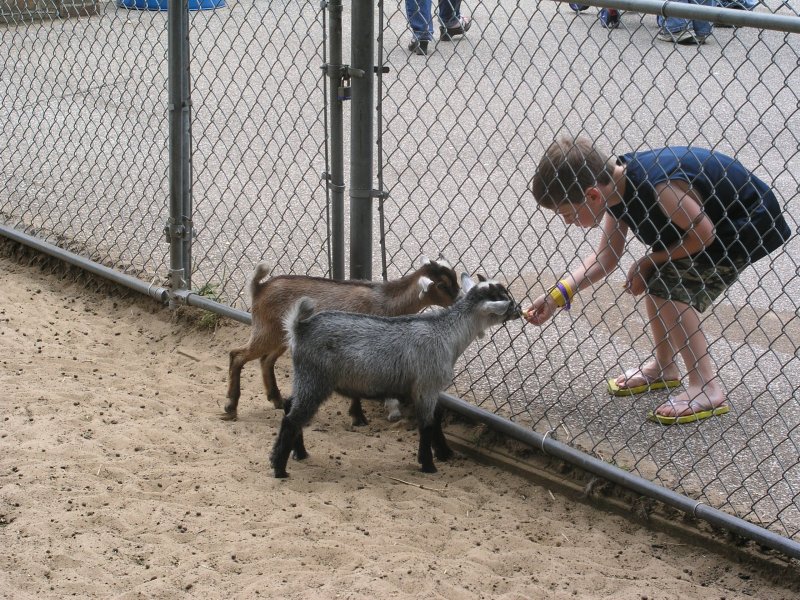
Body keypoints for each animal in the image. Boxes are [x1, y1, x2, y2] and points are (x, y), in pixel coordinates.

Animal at [224, 256, 460, 424]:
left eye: (455, 277)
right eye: (442, 285)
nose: (459, 299)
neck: (385, 301)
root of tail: (259, 288)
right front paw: (364, 416)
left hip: (281, 335)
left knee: (266, 360)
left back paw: (277, 400)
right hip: (265, 331)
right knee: (237, 355)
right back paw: (231, 407)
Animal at [269, 273, 521, 478]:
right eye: (505, 300)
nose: (519, 310)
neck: (447, 333)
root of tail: (299, 328)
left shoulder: (426, 390)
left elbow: (436, 419)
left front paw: (443, 453)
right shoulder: (427, 386)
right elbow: (427, 424)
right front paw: (428, 465)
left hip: (305, 378)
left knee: (290, 406)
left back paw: (300, 453)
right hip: (316, 379)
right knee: (292, 419)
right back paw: (279, 468)